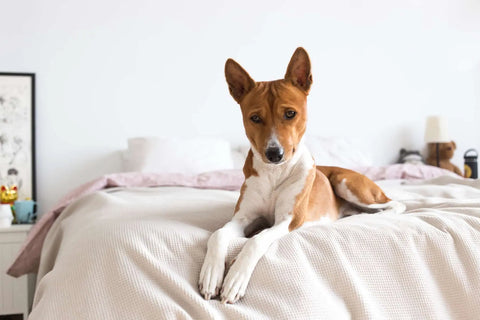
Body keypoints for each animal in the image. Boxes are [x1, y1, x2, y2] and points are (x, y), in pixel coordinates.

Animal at [199, 47, 404, 302]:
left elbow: (257, 239)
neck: (275, 174)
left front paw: (235, 277)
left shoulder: (289, 220)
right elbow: (218, 234)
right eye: (255, 118)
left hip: (346, 182)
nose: (274, 153)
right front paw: (211, 274)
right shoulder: (242, 218)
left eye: (290, 114)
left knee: (394, 205)